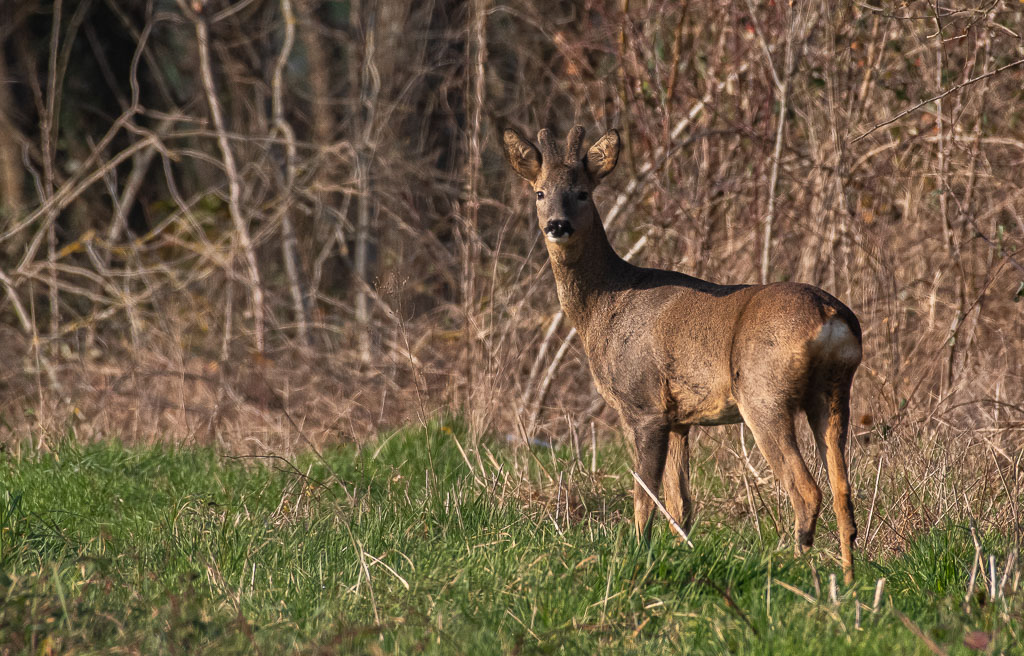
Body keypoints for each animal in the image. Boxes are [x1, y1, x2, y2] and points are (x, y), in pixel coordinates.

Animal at [503, 123, 864, 581]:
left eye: (583, 192)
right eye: (540, 192)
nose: (557, 225)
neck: (605, 303)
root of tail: (829, 316)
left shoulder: (644, 406)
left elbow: (644, 498)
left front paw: (637, 558)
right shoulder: (680, 419)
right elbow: (681, 505)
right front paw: (681, 557)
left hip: (764, 394)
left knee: (806, 491)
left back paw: (796, 575)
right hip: (834, 393)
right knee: (842, 493)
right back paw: (848, 583)